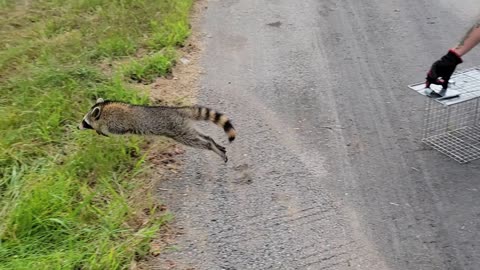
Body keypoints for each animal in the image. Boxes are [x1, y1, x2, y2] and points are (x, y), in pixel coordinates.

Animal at [78, 98, 236, 162]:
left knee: (195, 141)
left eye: (84, 122)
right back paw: (213, 142)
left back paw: (211, 146)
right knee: (200, 135)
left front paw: (101, 131)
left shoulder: (116, 121)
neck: (103, 109)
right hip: (183, 125)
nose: (77, 127)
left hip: (177, 129)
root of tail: (178, 110)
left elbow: (116, 130)